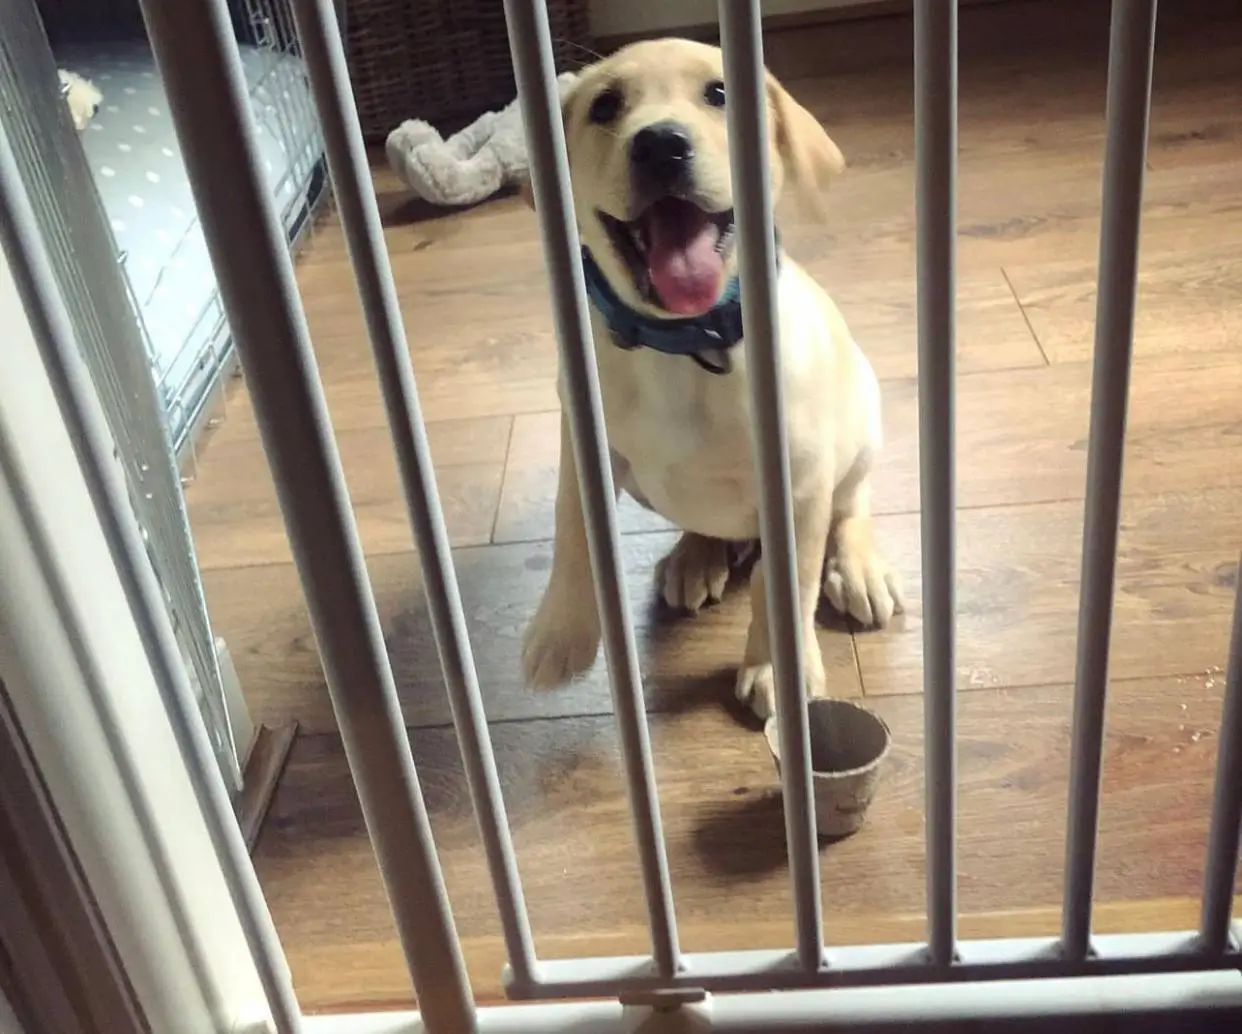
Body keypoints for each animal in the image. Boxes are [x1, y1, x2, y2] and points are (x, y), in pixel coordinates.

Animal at [524, 38, 904, 719]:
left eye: (721, 94)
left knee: (851, 502)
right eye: (605, 106)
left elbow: (784, 585)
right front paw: (558, 633)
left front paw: (778, 667)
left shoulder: (799, 488)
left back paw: (859, 566)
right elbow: (572, 531)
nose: (660, 144)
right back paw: (695, 556)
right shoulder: (583, 442)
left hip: (862, 422)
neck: (687, 344)